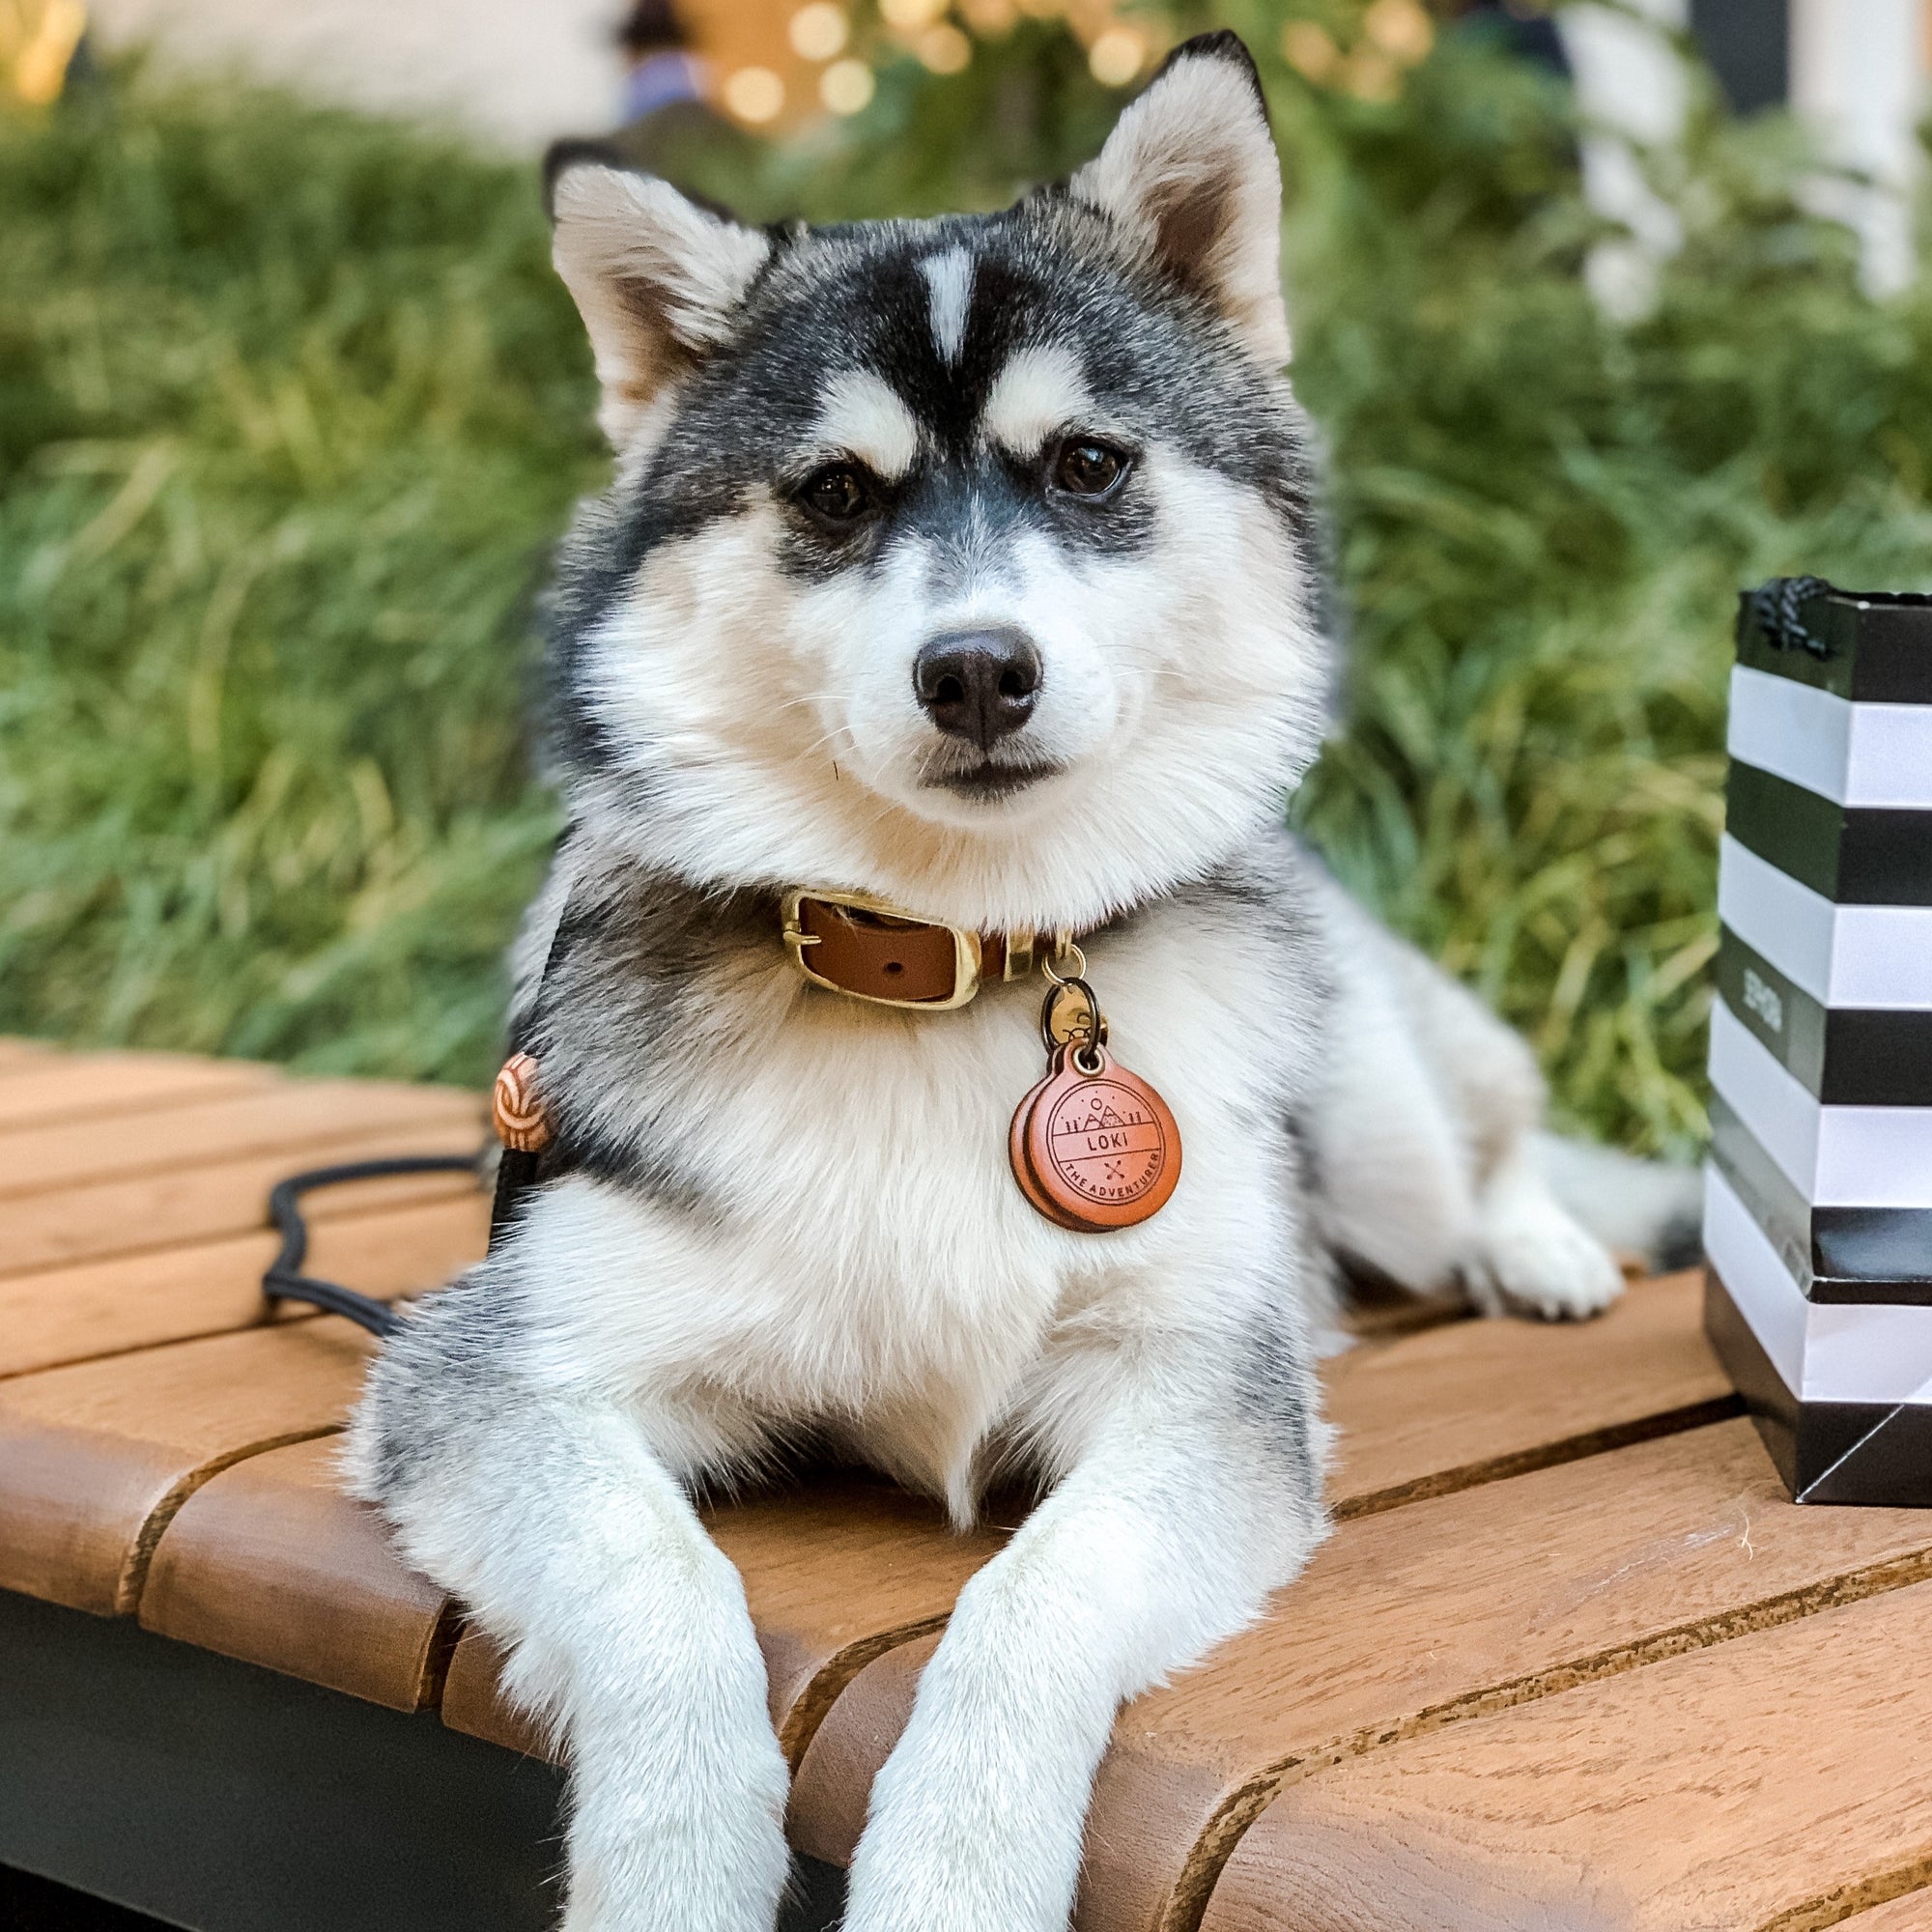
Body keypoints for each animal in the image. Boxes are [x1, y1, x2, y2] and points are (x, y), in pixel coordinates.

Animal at [344, 34, 1692, 1932]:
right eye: (835, 493)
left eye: (1088, 465)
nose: (978, 668)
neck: (951, 969)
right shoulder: (497, 1376)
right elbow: (664, 1598)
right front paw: (676, 1871)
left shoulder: (1202, 1392)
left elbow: (1032, 1604)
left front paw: (955, 1871)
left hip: (1374, 1124)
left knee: (1483, 1146)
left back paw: (1543, 1248)